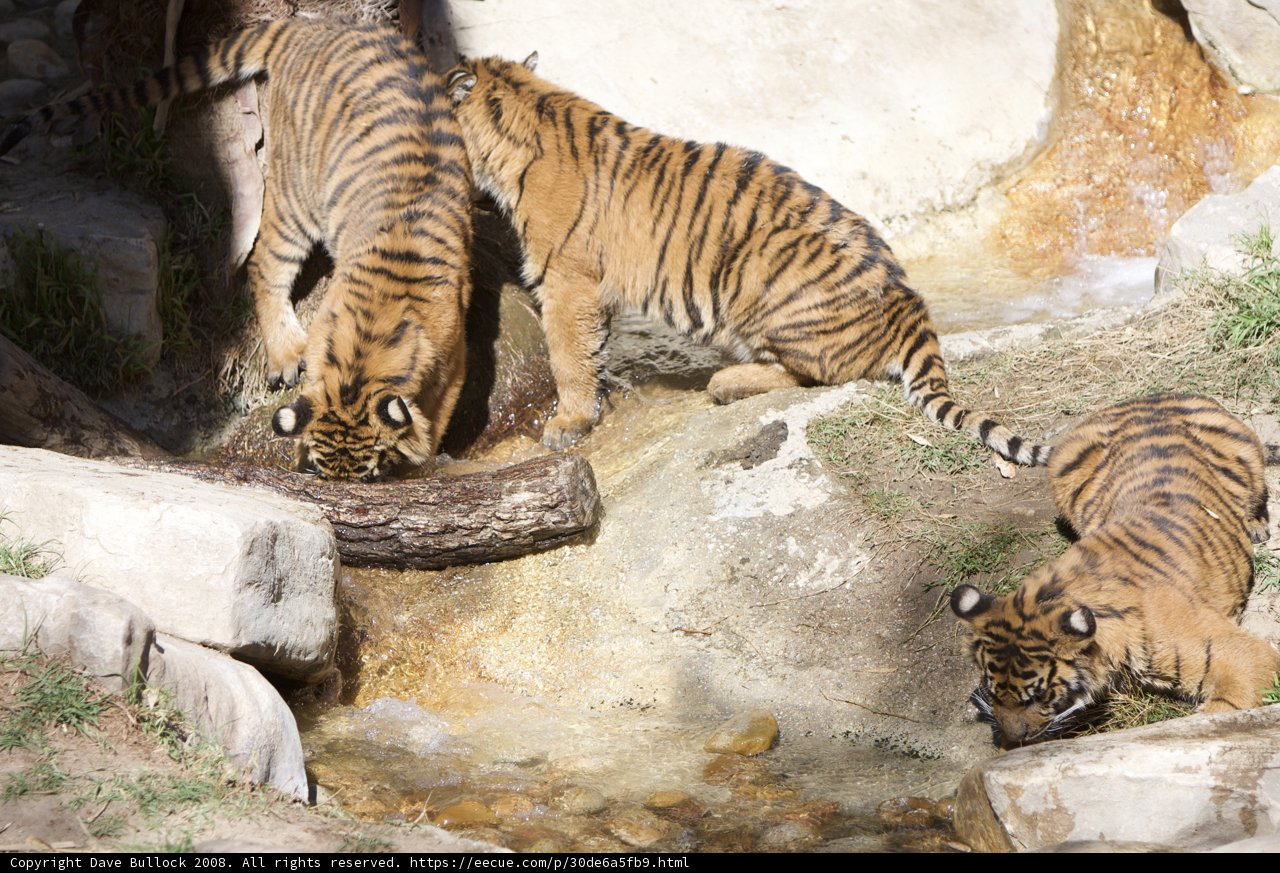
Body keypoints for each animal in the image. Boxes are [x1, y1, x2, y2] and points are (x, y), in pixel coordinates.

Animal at [0, 18, 473, 481]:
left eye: (368, 476)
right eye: (321, 471)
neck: (367, 345)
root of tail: (308, 26)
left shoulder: (454, 359)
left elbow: (437, 413)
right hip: (296, 193)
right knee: (265, 262)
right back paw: (286, 354)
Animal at [440, 53, 1047, 463]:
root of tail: (908, 301)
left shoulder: (566, 280)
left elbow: (567, 355)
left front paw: (566, 422)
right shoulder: (587, 290)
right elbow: (593, 349)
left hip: (757, 279)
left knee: (814, 374)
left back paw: (726, 381)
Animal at [951, 392, 1280, 748]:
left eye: (1038, 697)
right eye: (993, 692)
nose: (1014, 738)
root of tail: (1148, 397)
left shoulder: (1245, 658)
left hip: (1247, 453)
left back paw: (1257, 526)